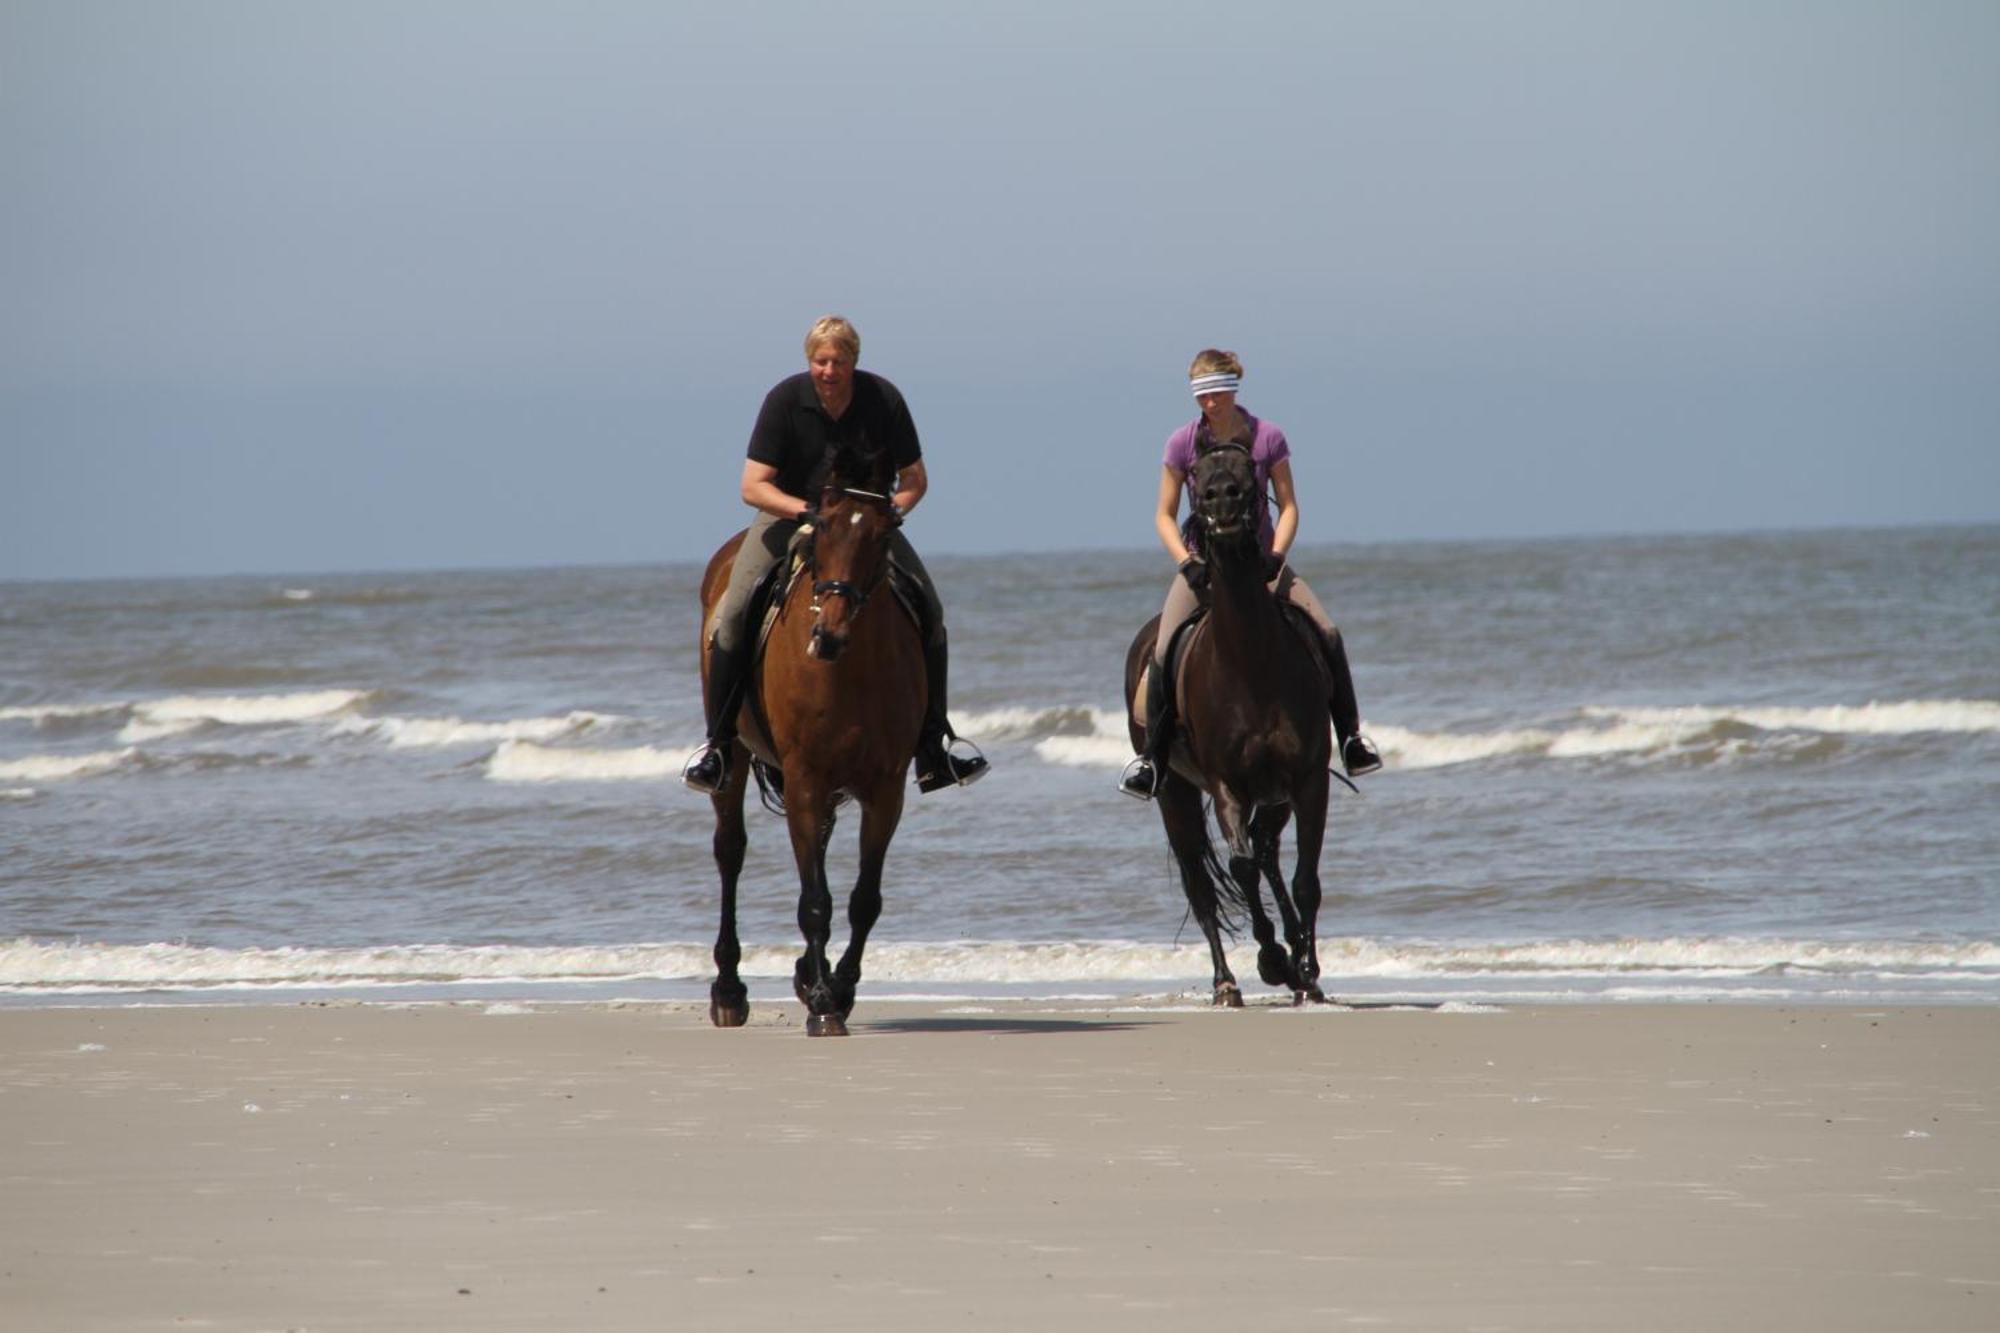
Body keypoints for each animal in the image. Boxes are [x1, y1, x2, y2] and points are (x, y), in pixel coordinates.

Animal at [696, 440, 928, 1032]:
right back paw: (728, 990)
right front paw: (824, 1002)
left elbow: (863, 899)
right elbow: (814, 899)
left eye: (883, 534)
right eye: (822, 526)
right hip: (735, 759)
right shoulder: (804, 777)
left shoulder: (884, 789)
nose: (829, 634)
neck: (848, 669)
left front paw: (835, 988)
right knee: (730, 851)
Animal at [1120, 440, 1336, 1000]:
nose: (1223, 501)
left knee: (1267, 854)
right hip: (1174, 794)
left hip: (1274, 795)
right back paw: (1226, 982)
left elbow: (1304, 878)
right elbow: (1240, 870)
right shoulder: (1225, 786)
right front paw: (1273, 960)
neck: (1251, 660)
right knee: (1202, 884)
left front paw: (1305, 971)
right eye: (1197, 474)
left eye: (1249, 468)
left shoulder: (1306, 781)